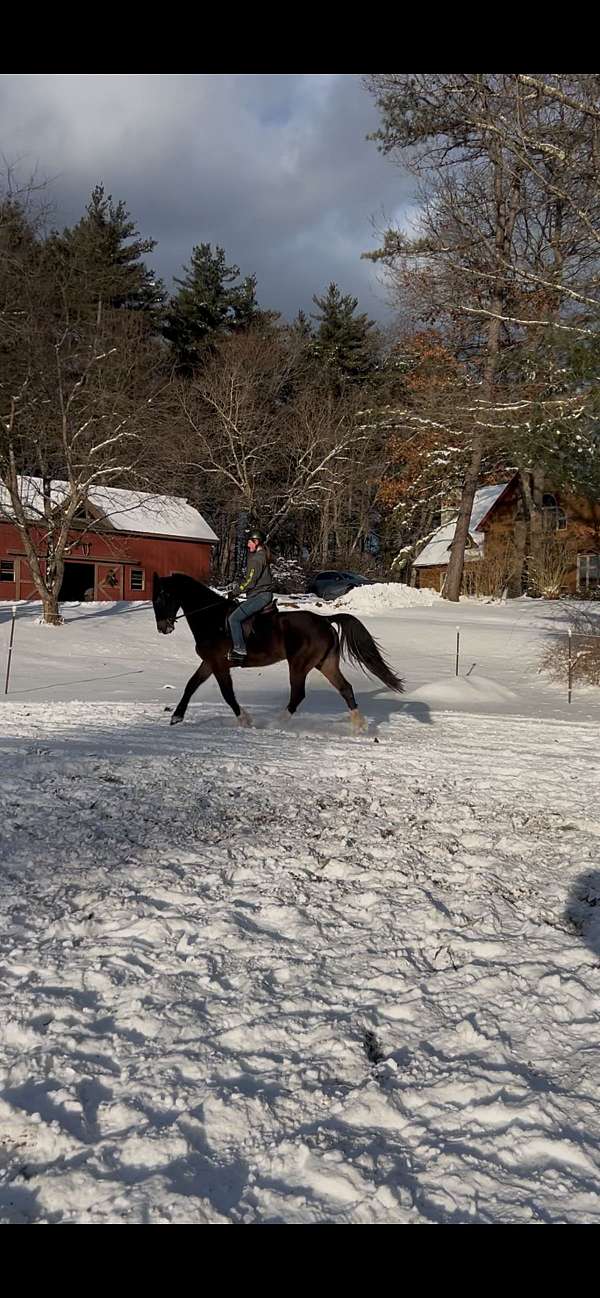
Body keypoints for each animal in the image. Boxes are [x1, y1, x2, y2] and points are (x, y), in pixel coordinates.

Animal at [151, 571, 402, 732]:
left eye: (164, 596)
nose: (163, 628)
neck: (212, 619)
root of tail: (324, 620)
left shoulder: (219, 664)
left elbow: (227, 694)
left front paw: (246, 721)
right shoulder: (210, 663)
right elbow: (191, 685)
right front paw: (176, 717)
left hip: (299, 665)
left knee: (298, 695)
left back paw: (276, 723)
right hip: (326, 664)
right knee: (346, 689)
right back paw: (360, 726)